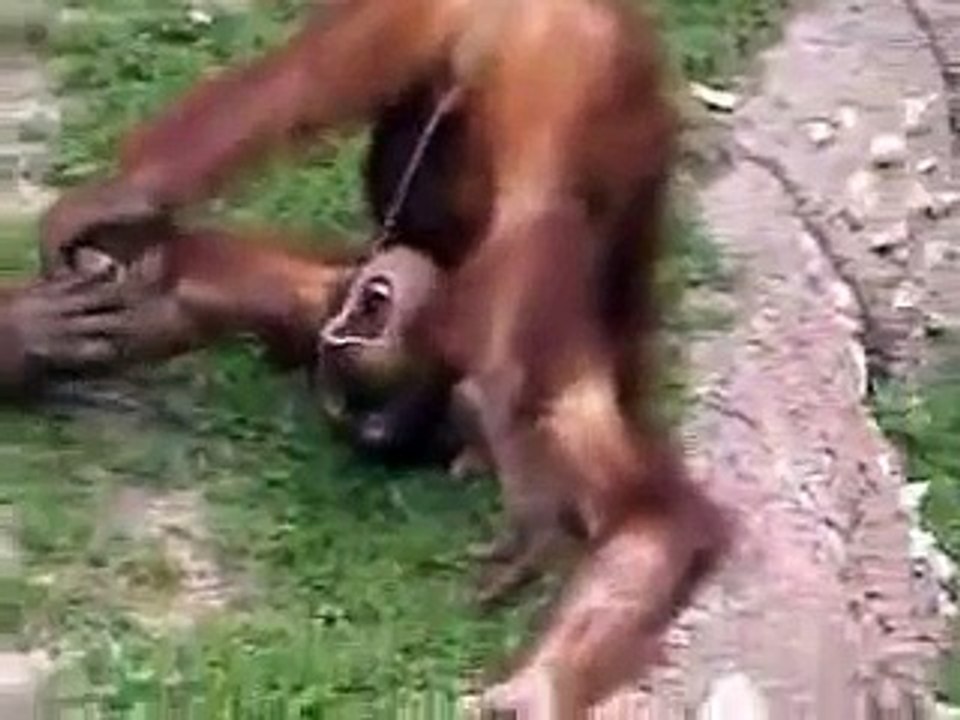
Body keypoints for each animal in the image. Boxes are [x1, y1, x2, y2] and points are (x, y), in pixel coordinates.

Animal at [36, 0, 731, 714]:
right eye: (359, 328)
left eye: (353, 381)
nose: (345, 329)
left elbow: (646, 524)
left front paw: (537, 688)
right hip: (560, 51)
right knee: (337, 79)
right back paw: (131, 194)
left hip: (574, 64)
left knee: (525, 186)